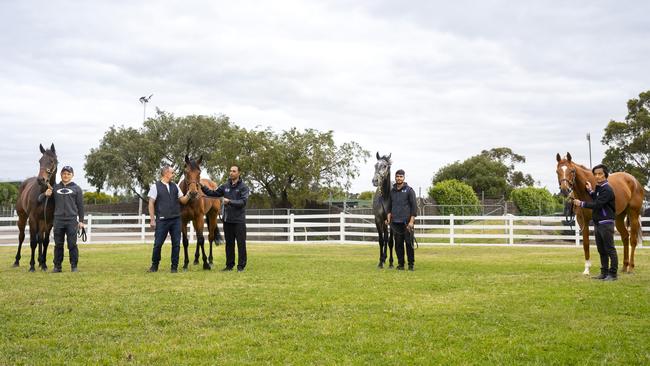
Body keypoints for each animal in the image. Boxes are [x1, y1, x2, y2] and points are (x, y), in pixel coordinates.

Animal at [13, 143, 57, 272]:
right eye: (40, 161)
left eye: (51, 161)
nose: (41, 180)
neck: (43, 194)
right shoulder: (32, 219)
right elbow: (32, 242)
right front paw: (32, 265)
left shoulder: (49, 221)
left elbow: (45, 241)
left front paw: (44, 264)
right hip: (22, 217)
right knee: (22, 237)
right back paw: (17, 261)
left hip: (41, 221)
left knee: (40, 239)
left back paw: (40, 261)